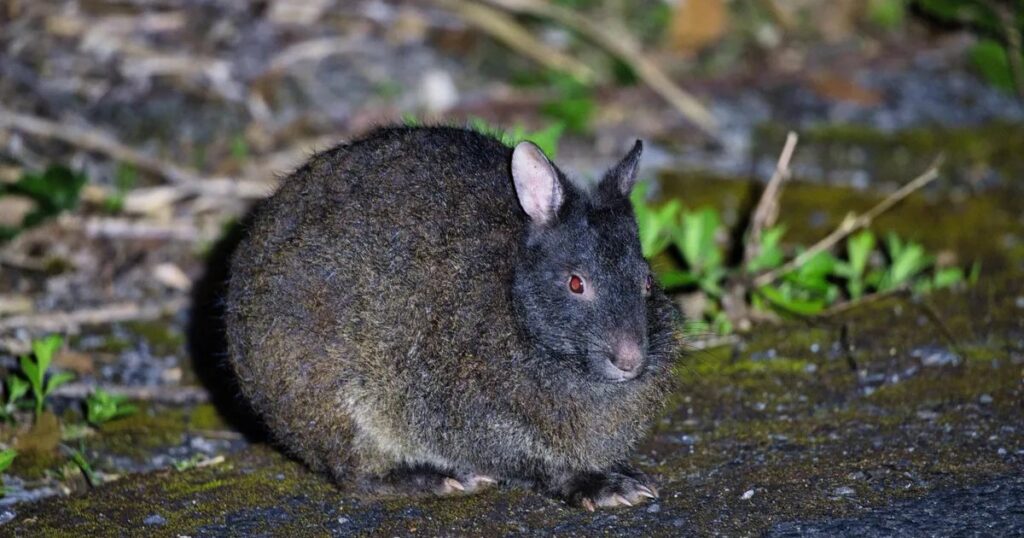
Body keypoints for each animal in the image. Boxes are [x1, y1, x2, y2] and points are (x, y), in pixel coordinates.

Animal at [225, 125, 682, 510]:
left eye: (646, 281)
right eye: (575, 283)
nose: (630, 360)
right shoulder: (472, 417)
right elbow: (534, 462)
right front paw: (597, 485)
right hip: (339, 401)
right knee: (354, 477)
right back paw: (433, 479)